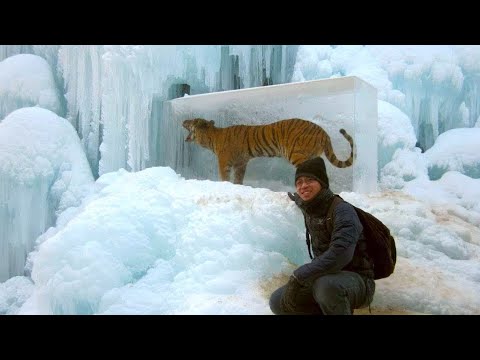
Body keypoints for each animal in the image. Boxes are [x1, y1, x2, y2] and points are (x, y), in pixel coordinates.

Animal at [182, 118, 354, 184]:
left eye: (191, 121)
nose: (183, 120)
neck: (211, 138)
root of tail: (324, 133)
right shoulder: (241, 164)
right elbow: (238, 179)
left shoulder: (225, 162)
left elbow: (225, 177)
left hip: (297, 155)